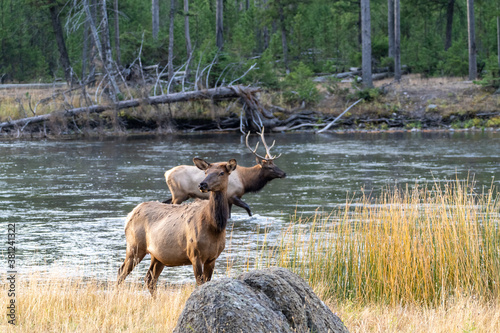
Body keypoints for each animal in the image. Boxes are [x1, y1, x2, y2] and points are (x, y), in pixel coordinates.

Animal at [117, 158, 236, 294]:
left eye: (222, 173)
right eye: (206, 172)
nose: (202, 185)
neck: (215, 228)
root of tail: (129, 215)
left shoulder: (212, 258)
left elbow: (206, 283)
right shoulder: (194, 254)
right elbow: (200, 283)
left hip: (157, 255)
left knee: (149, 278)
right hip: (134, 246)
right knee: (121, 272)